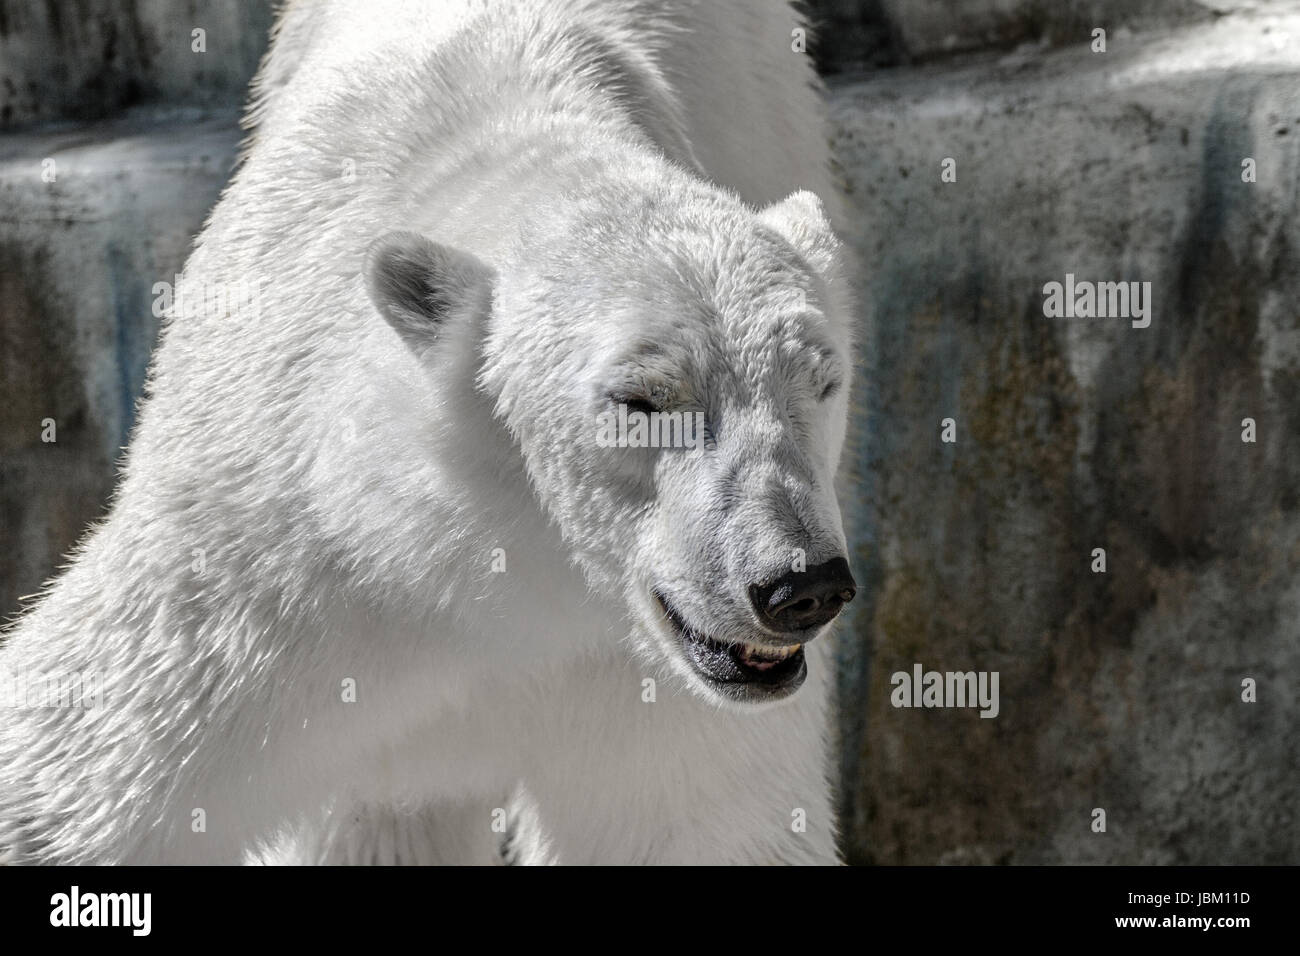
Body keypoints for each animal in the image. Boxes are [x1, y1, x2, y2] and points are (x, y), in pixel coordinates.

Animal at [0, 0, 857, 868]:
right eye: (641, 400)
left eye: (821, 381)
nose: (801, 586)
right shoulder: (269, 578)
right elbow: (77, 777)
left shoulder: (634, 671)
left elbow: (701, 823)